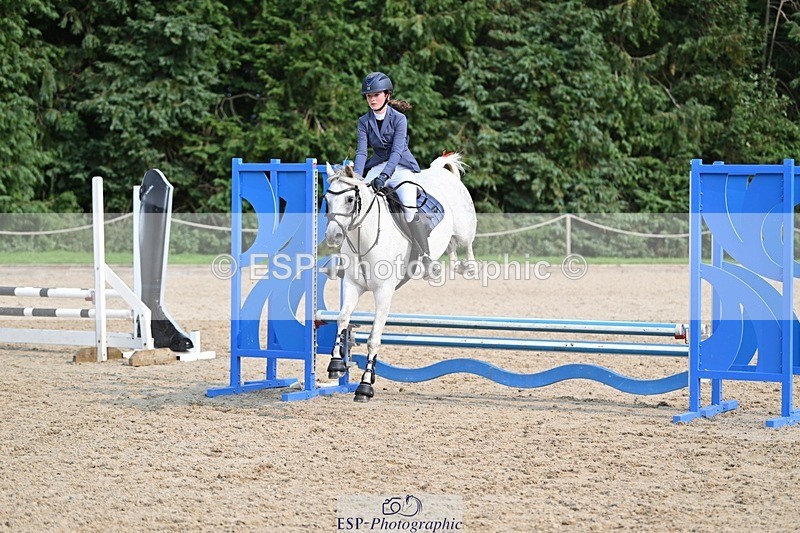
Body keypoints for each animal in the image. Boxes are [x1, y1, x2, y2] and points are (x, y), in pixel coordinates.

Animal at [323, 152, 477, 402]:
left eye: (349, 199)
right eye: (326, 199)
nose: (333, 236)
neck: (364, 238)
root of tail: (441, 171)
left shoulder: (383, 292)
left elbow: (373, 338)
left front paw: (365, 386)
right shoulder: (352, 285)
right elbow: (343, 319)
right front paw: (336, 364)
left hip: (465, 227)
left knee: (467, 243)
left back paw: (468, 267)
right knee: (452, 246)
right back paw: (445, 267)